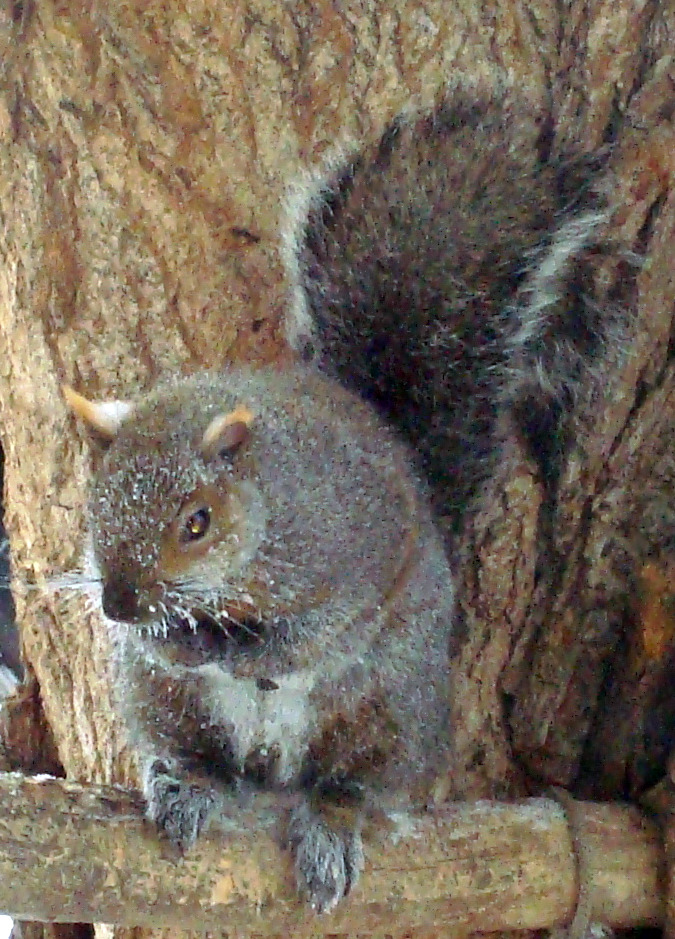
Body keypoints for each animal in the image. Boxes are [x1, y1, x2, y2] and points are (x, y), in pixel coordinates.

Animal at [62, 92, 620, 912]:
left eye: (198, 522)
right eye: (93, 506)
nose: (120, 607)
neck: (266, 518)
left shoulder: (346, 562)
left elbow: (299, 639)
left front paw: (217, 645)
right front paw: (165, 639)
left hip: (384, 713)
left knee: (352, 784)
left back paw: (330, 825)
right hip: (169, 707)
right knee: (195, 755)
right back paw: (187, 785)